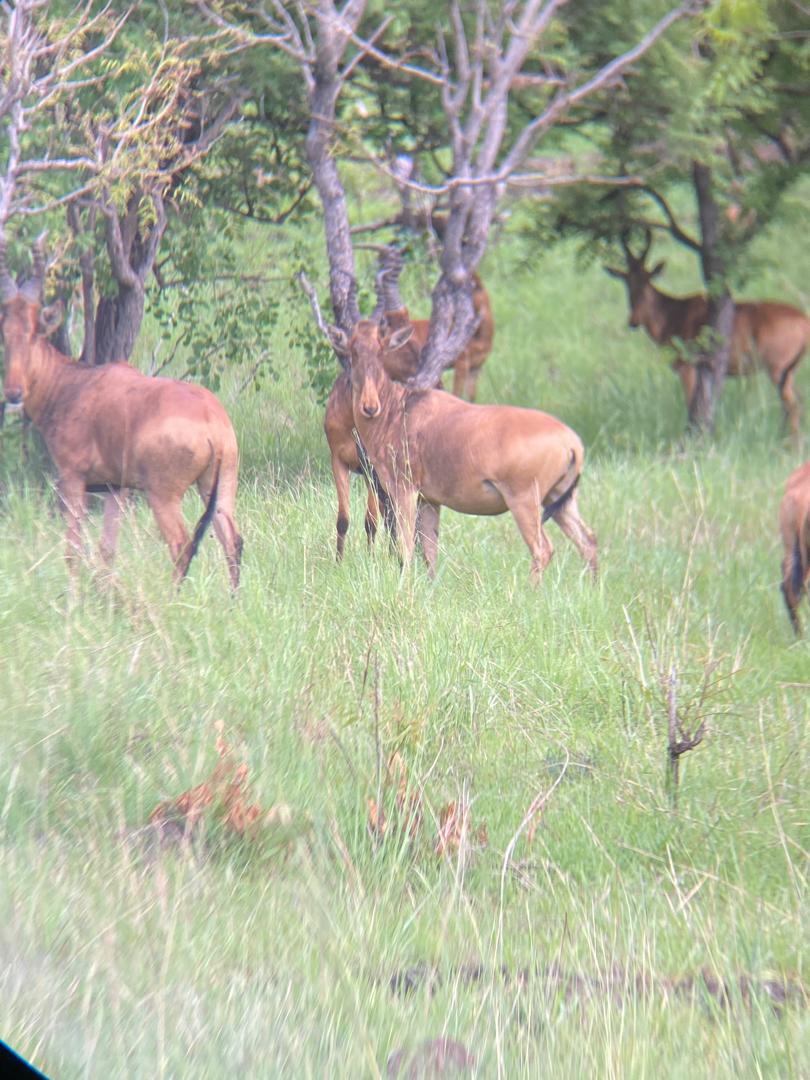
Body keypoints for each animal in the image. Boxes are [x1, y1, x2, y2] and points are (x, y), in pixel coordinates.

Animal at [0, 237, 243, 586]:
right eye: (4, 332)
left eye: (35, 330)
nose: (14, 393)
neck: (73, 384)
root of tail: (214, 423)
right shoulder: (116, 488)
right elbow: (107, 551)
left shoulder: (73, 478)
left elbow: (72, 549)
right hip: (219, 484)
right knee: (231, 540)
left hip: (163, 494)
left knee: (181, 544)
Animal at [326, 318, 597, 582]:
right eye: (352, 351)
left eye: (382, 350)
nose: (369, 407)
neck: (401, 408)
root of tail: (571, 442)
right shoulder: (428, 500)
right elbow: (430, 551)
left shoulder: (405, 489)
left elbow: (406, 547)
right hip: (561, 500)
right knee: (588, 541)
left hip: (524, 501)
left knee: (542, 548)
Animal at [606, 233, 810, 435]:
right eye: (627, 281)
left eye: (647, 280)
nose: (633, 321)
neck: (676, 311)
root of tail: (804, 321)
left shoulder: (688, 367)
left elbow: (691, 404)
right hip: (789, 371)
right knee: (795, 402)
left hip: (777, 369)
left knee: (792, 404)